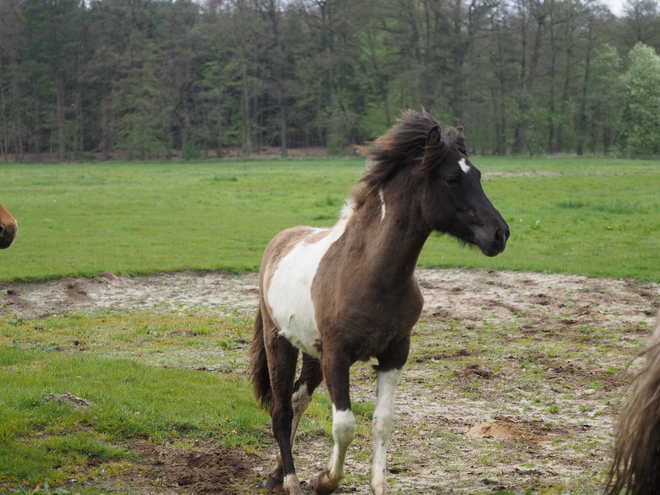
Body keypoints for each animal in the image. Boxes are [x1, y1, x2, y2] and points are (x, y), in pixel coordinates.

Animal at [249, 109, 510, 495]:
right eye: (451, 179)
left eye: (477, 174)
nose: (499, 234)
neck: (371, 274)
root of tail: (279, 243)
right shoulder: (338, 355)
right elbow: (344, 425)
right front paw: (325, 480)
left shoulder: (395, 353)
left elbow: (382, 422)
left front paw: (374, 484)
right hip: (279, 342)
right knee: (281, 409)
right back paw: (291, 481)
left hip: (312, 352)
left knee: (298, 399)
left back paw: (276, 473)